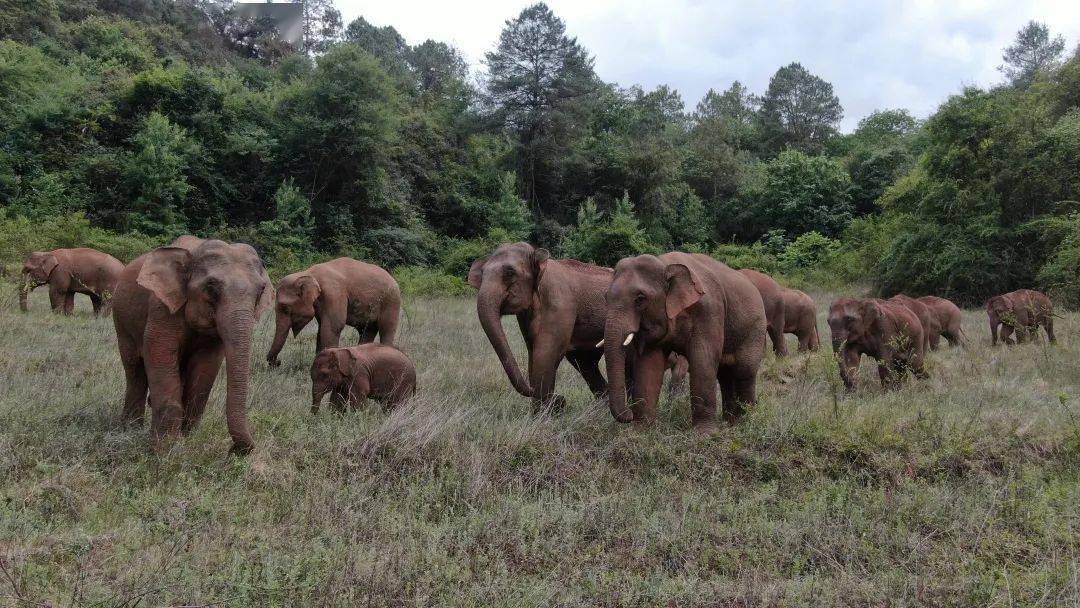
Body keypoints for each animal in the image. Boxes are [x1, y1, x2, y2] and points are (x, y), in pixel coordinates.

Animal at [112, 236, 273, 455]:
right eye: (211, 286)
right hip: (121, 322)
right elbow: (159, 352)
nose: (234, 450)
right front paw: (164, 449)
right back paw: (130, 429)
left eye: (262, 289)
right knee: (134, 370)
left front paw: (187, 439)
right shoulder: (161, 307)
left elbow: (206, 366)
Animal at [266, 258, 401, 367]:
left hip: (392, 302)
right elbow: (321, 328)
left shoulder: (334, 294)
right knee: (366, 331)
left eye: (285, 308)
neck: (310, 273)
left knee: (387, 329)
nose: (278, 362)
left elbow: (332, 327)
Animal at [469, 242, 625, 413]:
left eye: (510, 272)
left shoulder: (560, 303)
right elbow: (533, 352)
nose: (560, 399)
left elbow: (545, 352)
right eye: (482, 273)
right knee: (585, 362)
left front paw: (543, 413)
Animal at [603, 253, 767, 432]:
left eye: (640, 298)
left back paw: (745, 422)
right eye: (605, 297)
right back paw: (730, 423)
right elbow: (649, 364)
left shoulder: (710, 311)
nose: (628, 415)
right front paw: (641, 430)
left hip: (755, 328)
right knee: (725, 374)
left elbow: (703, 359)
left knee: (745, 370)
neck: (665, 264)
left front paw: (705, 434)